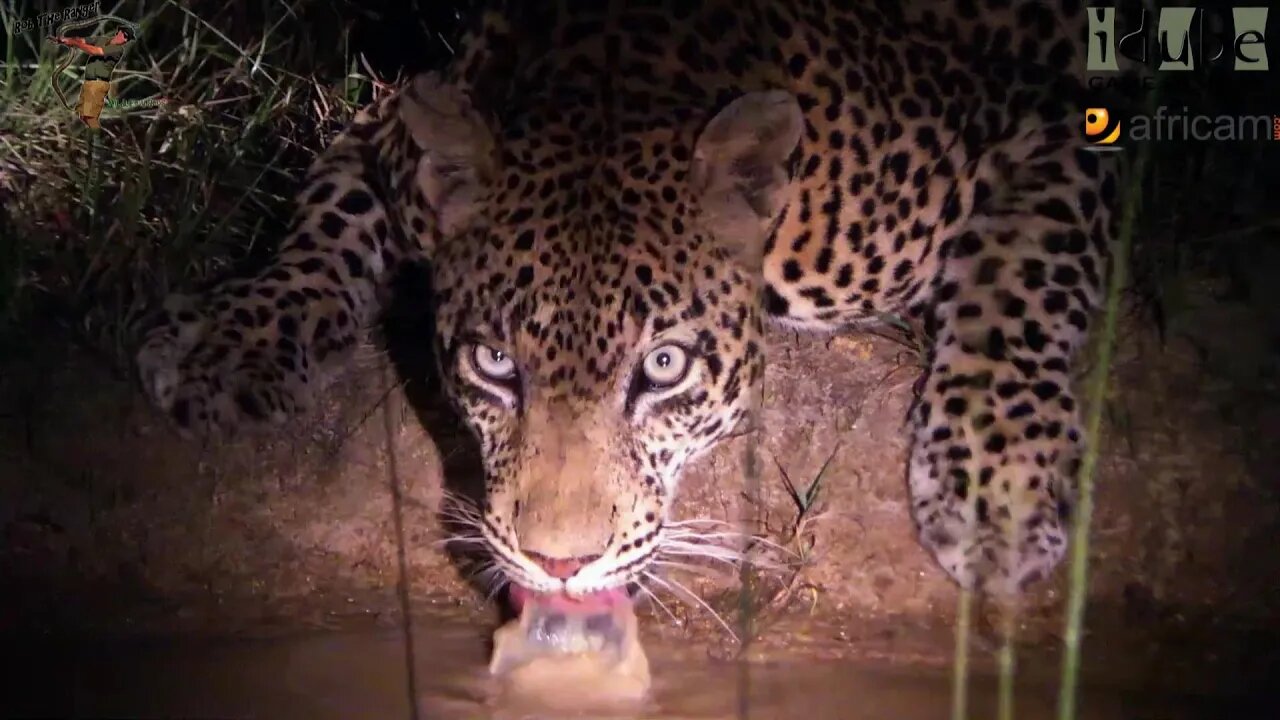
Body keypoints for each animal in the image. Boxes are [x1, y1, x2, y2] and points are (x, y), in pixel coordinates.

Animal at [132, 0, 1121, 604]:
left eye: (665, 367)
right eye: (495, 364)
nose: (559, 564)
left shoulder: (1051, 124)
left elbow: (1019, 289)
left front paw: (998, 498)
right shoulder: (386, 137)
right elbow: (324, 223)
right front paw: (230, 340)